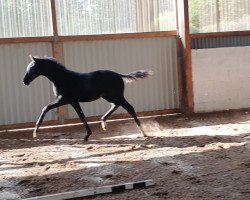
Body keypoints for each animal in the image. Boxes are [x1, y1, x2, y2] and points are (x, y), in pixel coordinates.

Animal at [23, 55, 152, 141]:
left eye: (32, 68)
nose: (24, 81)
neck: (63, 78)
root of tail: (119, 75)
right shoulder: (73, 101)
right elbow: (82, 116)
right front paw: (87, 135)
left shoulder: (63, 99)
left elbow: (45, 108)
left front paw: (35, 132)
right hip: (108, 96)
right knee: (116, 105)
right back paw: (103, 122)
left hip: (117, 96)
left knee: (129, 107)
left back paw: (144, 133)